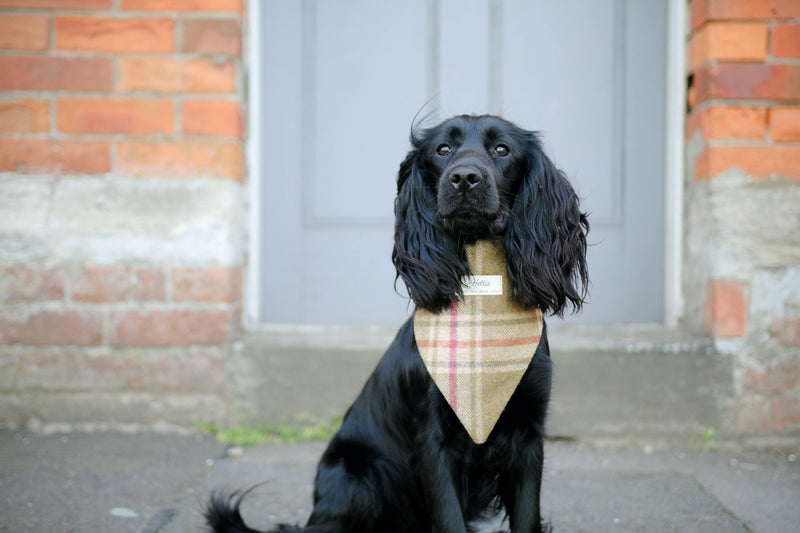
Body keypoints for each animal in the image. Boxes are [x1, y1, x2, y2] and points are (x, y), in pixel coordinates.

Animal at [206, 115, 588, 532]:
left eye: (502, 149)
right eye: (442, 149)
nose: (464, 179)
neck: (483, 311)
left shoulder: (529, 434)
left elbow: (526, 517)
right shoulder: (433, 440)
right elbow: (450, 519)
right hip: (357, 478)